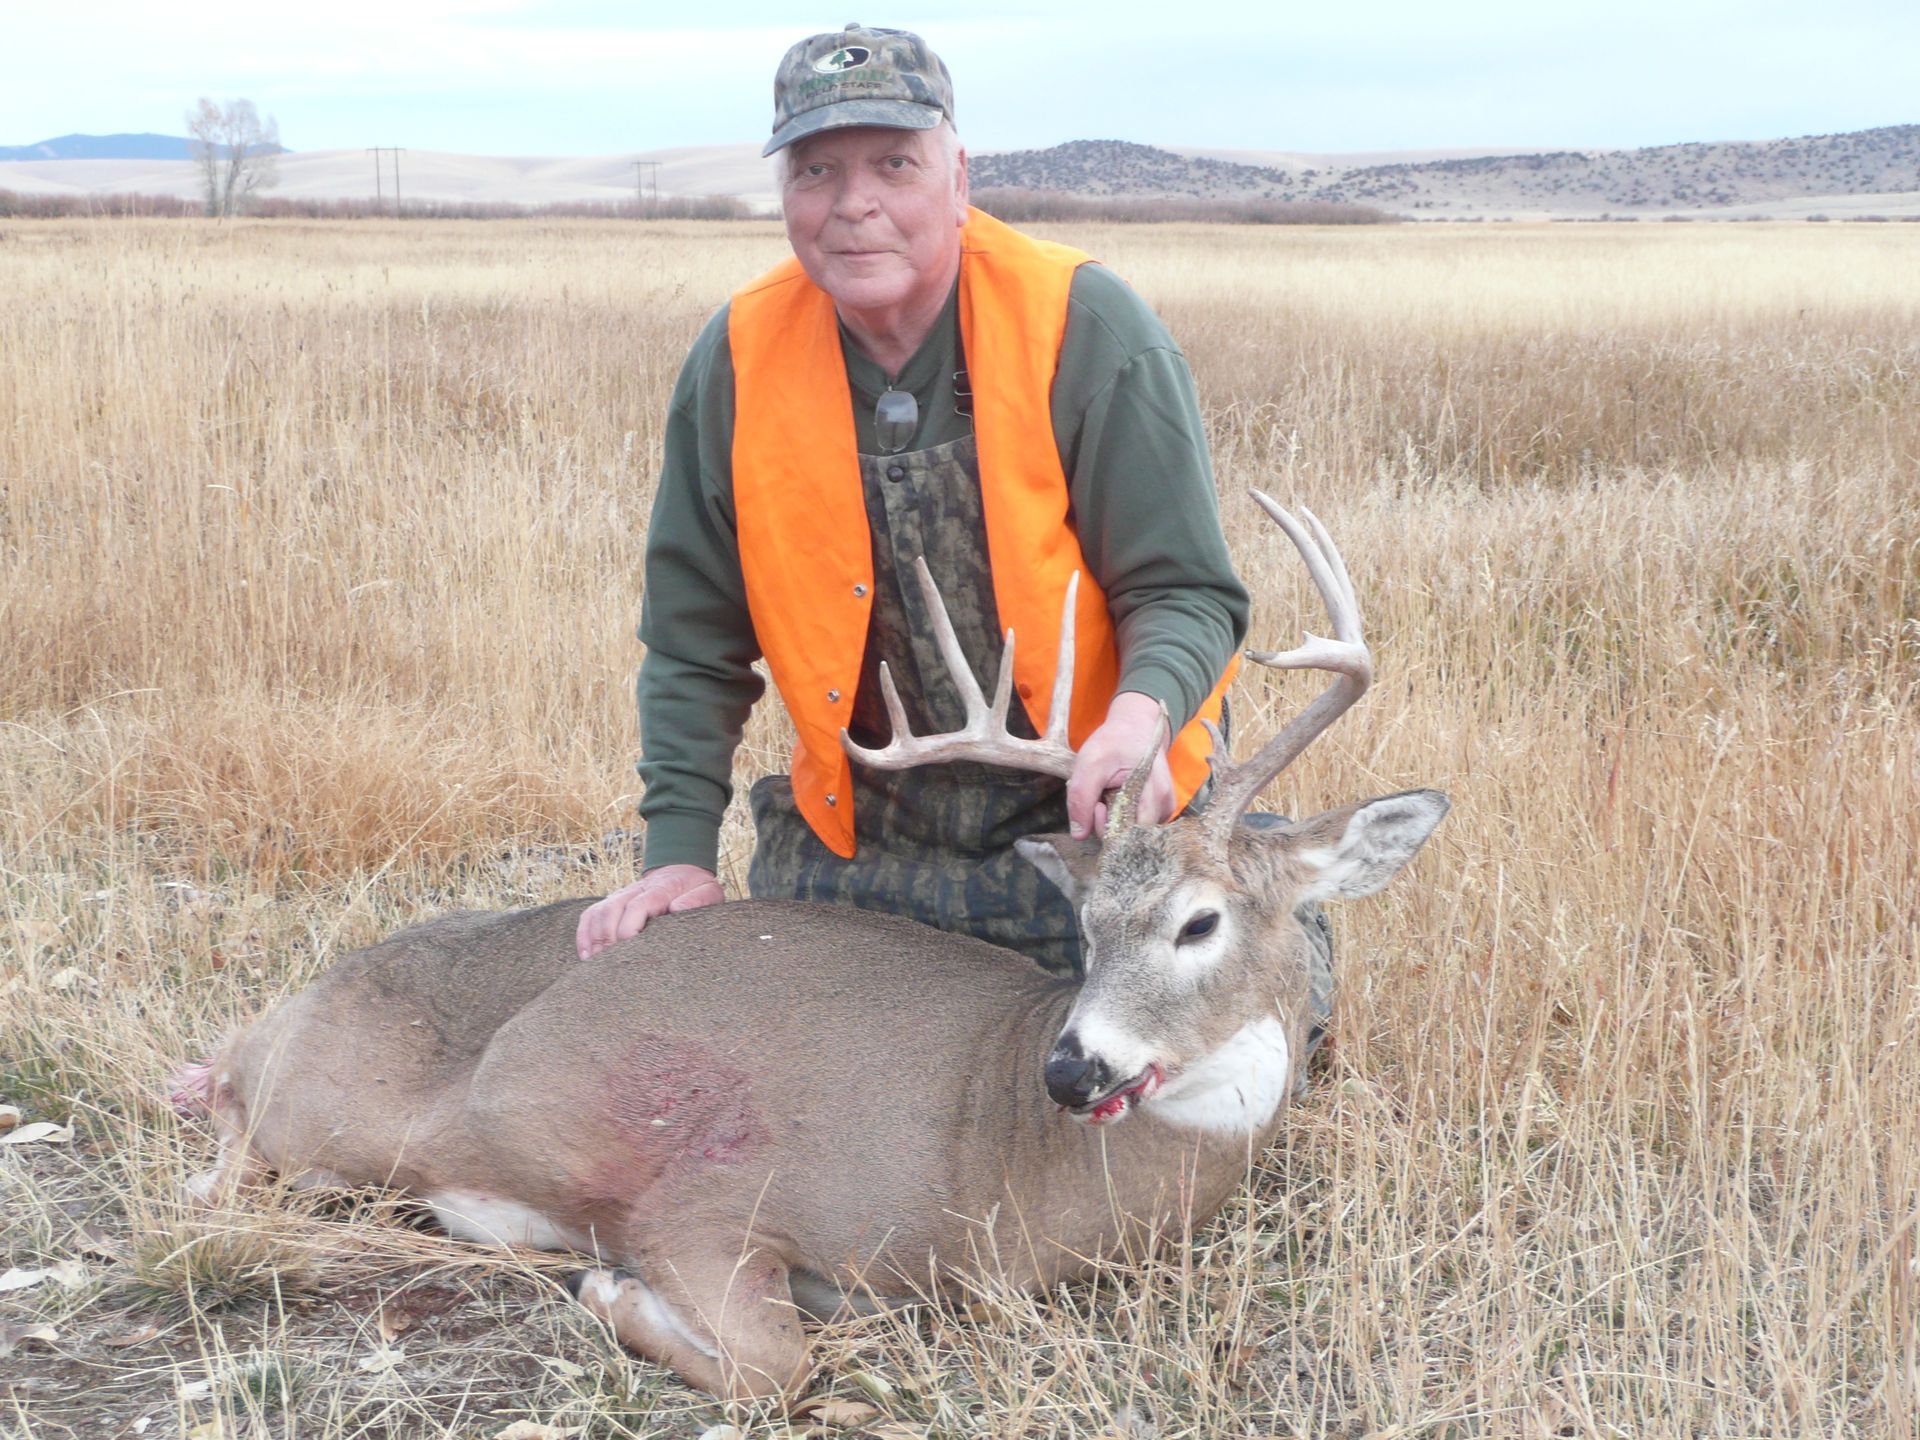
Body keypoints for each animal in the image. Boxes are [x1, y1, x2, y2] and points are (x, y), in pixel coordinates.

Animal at [172, 495, 1448, 1403]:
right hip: (334, 1112)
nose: (1073, 1067)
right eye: (1087, 928)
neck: (996, 1155)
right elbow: (774, 1365)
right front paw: (602, 1287)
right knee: (229, 1145)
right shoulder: (704, 1198)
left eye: (1198, 921)